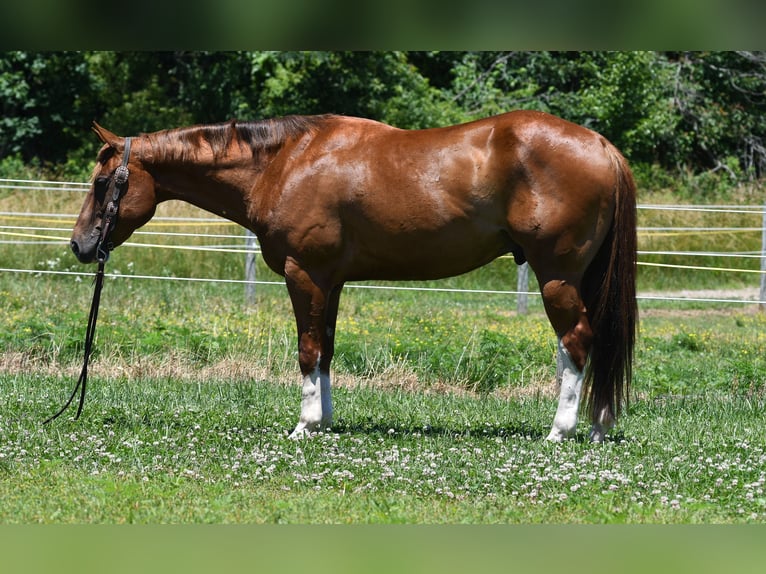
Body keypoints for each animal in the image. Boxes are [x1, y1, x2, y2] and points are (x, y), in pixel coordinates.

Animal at [71, 110, 637, 441]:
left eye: (102, 183)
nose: (79, 245)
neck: (286, 162)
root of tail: (600, 144)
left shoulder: (305, 275)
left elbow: (306, 349)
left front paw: (304, 426)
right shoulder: (331, 282)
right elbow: (325, 350)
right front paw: (324, 421)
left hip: (557, 276)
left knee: (576, 343)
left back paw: (561, 431)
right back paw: (596, 428)